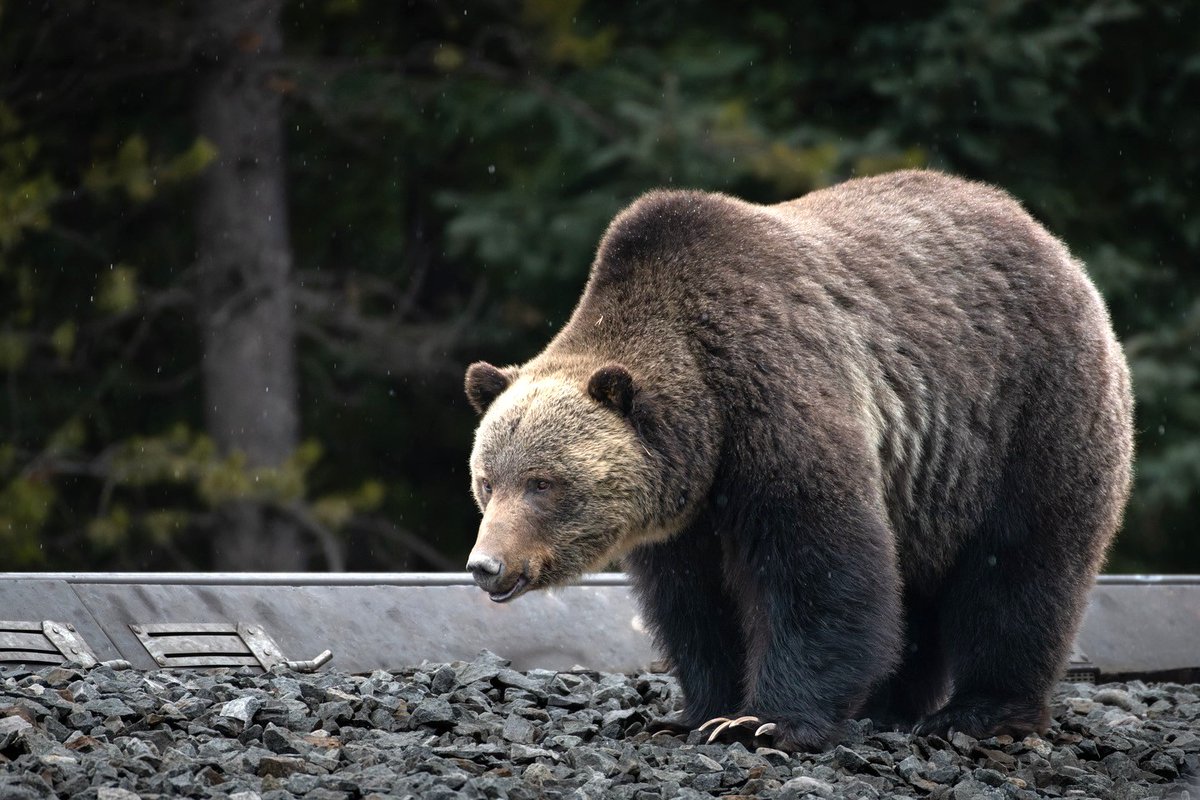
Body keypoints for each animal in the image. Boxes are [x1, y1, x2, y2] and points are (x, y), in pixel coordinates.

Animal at [460, 169, 1132, 753]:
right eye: (486, 482)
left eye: (543, 483)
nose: (485, 565)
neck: (706, 428)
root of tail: (1052, 244)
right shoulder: (687, 518)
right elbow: (697, 605)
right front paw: (696, 713)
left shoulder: (778, 405)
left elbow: (818, 570)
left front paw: (765, 722)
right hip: (929, 490)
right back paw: (886, 705)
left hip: (1026, 416)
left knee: (1018, 570)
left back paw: (978, 713)